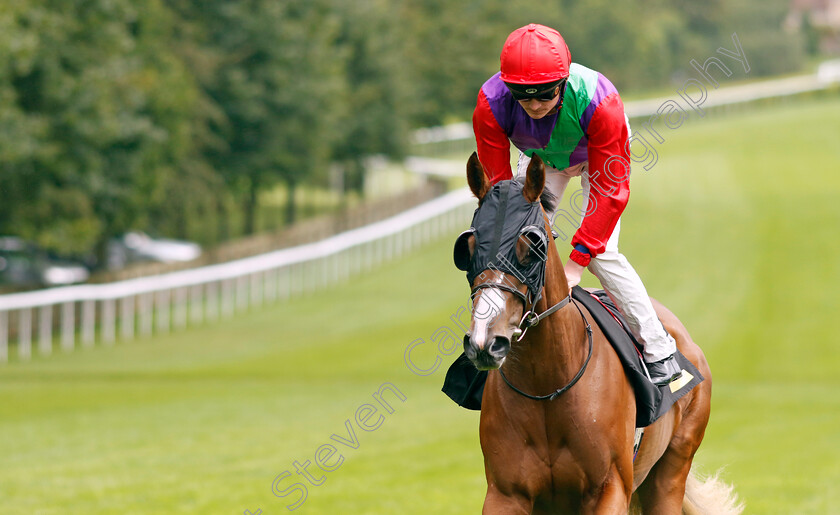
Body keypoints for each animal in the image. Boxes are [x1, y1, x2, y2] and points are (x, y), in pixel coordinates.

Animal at [456, 154, 740, 515]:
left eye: (532, 246)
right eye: (467, 247)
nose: (484, 342)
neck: (547, 386)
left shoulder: (610, 487)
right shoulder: (505, 494)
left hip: (671, 470)